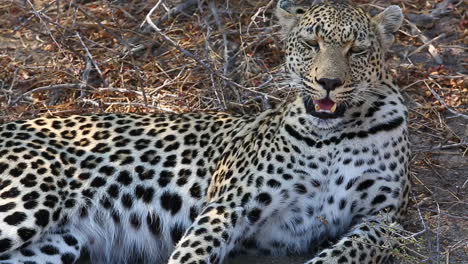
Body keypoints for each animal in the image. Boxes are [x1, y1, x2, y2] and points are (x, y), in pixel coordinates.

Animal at [0, 0, 410, 264]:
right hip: (30, 198)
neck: (332, 135)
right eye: (312, 44)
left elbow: (348, 251)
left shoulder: (383, 218)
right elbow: (193, 253)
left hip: (57, 241)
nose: (328, 82)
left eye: (357, 50)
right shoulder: (230, 205)